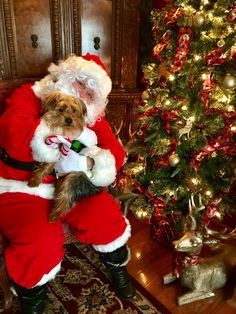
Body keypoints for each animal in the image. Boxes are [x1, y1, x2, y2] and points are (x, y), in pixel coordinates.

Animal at [27, 92, 100, 222]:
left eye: (74, 111)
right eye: (61, 109)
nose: (69, 120)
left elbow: (47, 164)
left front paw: (34, 181)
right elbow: (45, 165)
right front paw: (35, 180)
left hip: (73, 177)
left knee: (66, 199)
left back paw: (54, 216)